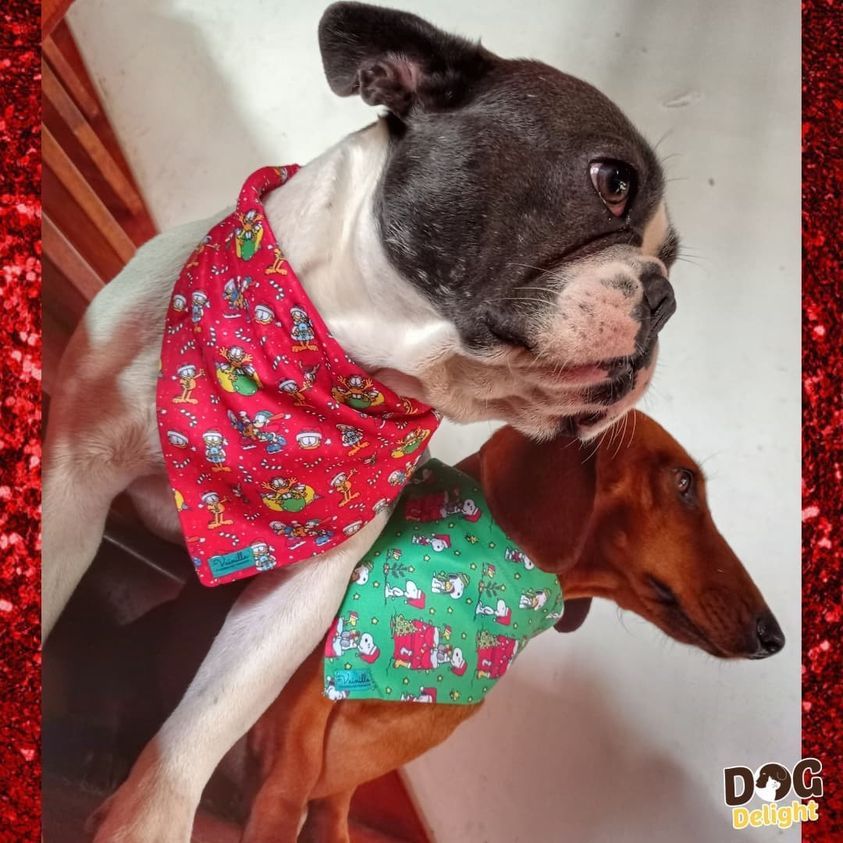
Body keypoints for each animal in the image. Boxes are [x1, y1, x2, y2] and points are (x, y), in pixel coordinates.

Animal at [43, 4, 679, 840]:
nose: (666, 297)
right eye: (611, 181)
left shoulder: (300, 591)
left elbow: (204, 723)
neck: (326, 374)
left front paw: (145, 822)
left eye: (674, 258)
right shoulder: (74, 485)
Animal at [242, 411, 785, 842]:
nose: (774, 638)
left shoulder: (350, 777)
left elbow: (331, 805)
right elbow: (286, 789)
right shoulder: (296, 729)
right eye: (684, 482)